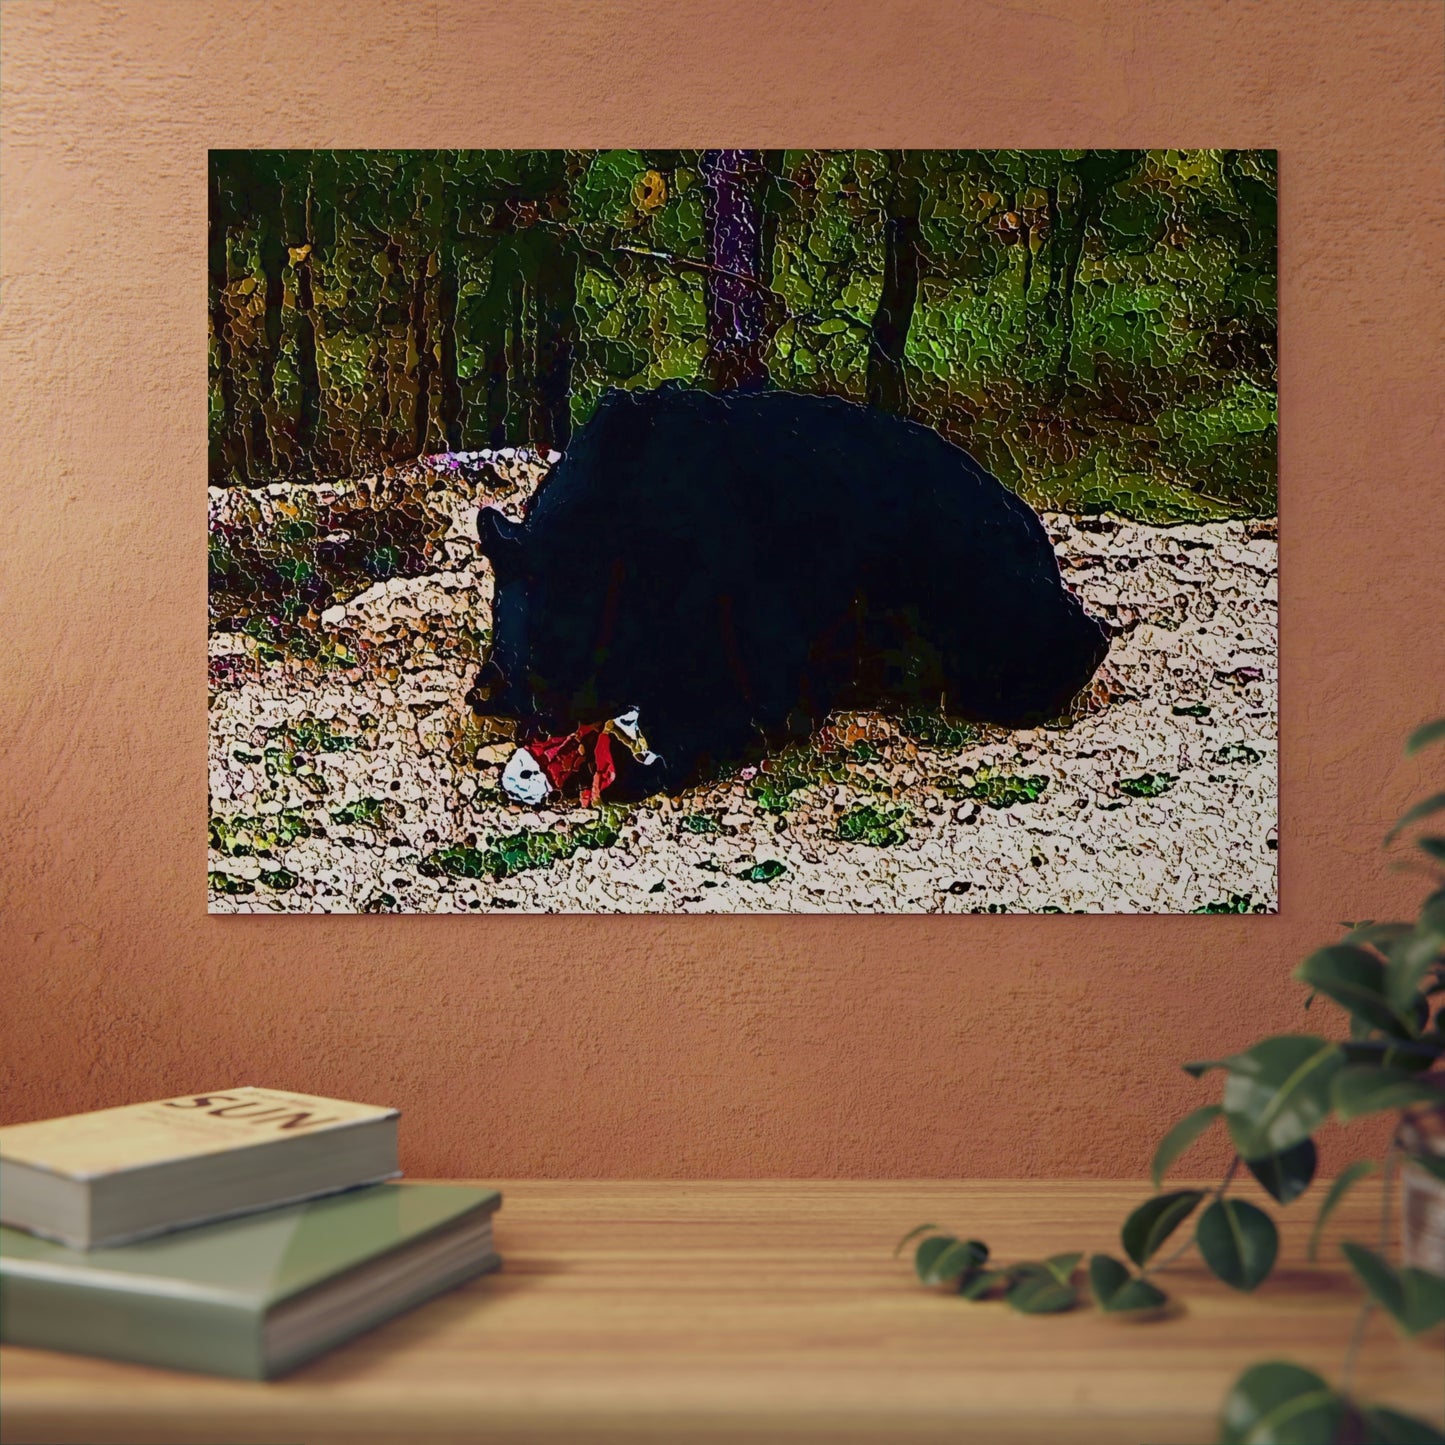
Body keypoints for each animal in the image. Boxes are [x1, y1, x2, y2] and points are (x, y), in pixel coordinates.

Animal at [468, 386, 1108, 798]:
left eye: (566, 649)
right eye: (523, 655)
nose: (542, 725)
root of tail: (1030, 522)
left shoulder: (736, 586)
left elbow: (742, 701)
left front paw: (643, 764)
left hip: (966, 576)